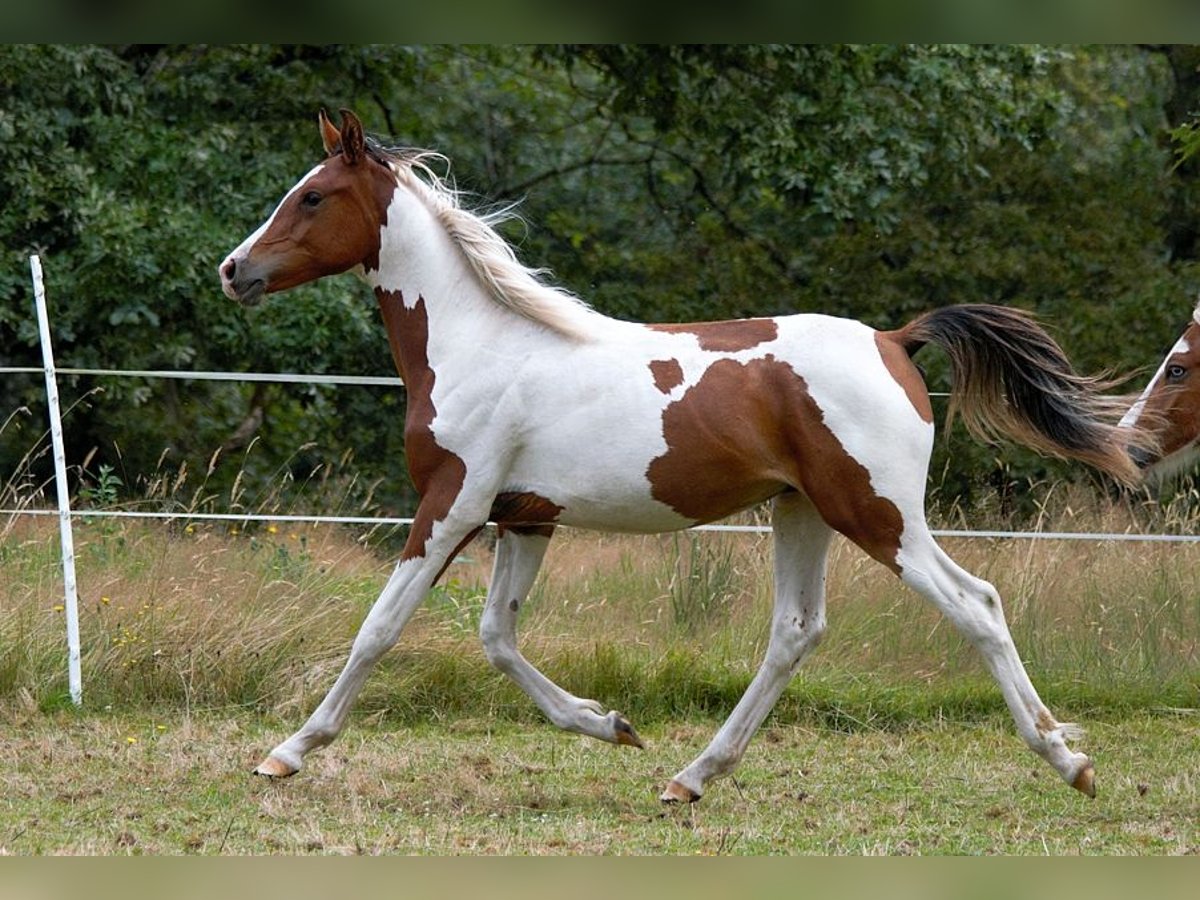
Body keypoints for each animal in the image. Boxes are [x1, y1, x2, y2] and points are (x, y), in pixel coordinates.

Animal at [216, 109, 1142, 806]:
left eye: (312, 196)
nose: (233, 270)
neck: (480, 345)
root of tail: (894, 338)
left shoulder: (452, 506)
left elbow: (378, 629)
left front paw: (287, 752)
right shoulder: (525, 519)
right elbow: (496, 637)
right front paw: (609, 724)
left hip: (876, 514)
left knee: (976, 604)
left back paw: (1069, 760)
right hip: (802, 511)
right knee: (795, 632)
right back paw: (691, 776)